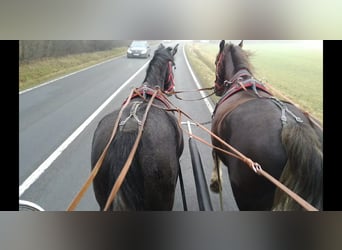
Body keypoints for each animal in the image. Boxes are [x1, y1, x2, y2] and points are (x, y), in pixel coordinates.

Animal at [208, 40, 324, 211]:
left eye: (217, 61)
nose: (216, 88)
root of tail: (293, 127)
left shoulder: (215, 140)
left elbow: (214, 156)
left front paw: (215, 182)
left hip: (248, 195)